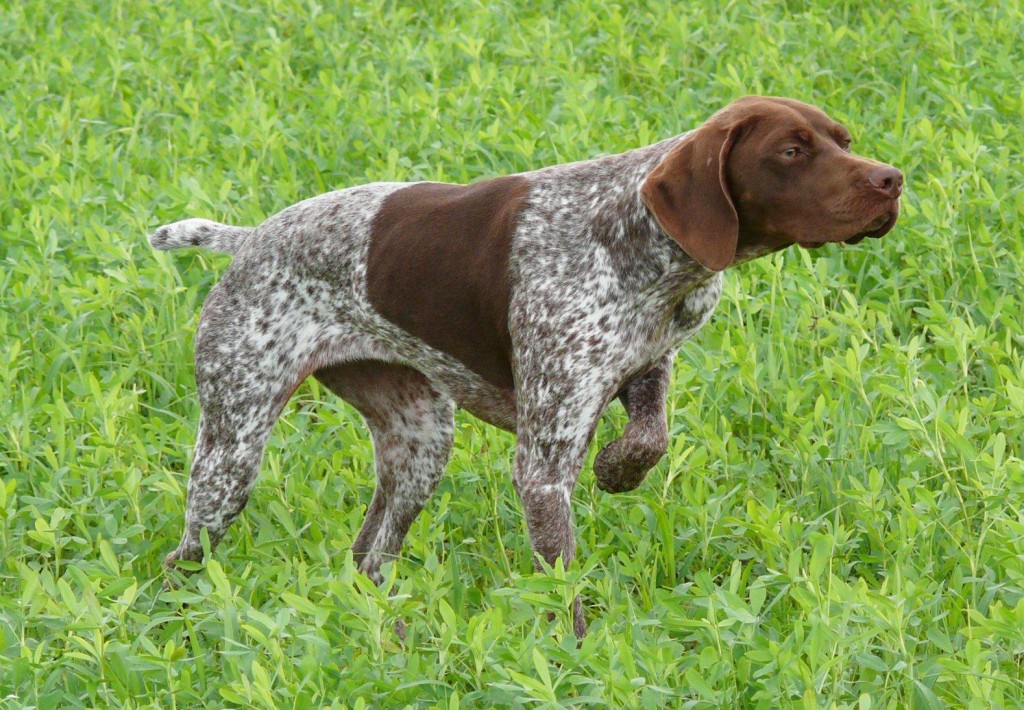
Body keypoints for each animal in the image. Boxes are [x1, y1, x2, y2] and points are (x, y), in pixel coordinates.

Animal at [153, 95, 905, 635]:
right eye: (791, 151)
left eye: (843, 140)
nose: (892, 179)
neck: (636, 239)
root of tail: (253, 237)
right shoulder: (544, 464)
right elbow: (562, 578)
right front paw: (576, 655)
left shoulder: (647, 366)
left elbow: (652, 436)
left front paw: (618, 470)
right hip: (232, 452)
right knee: (182, 557)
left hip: (419, 440)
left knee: (369, 556)